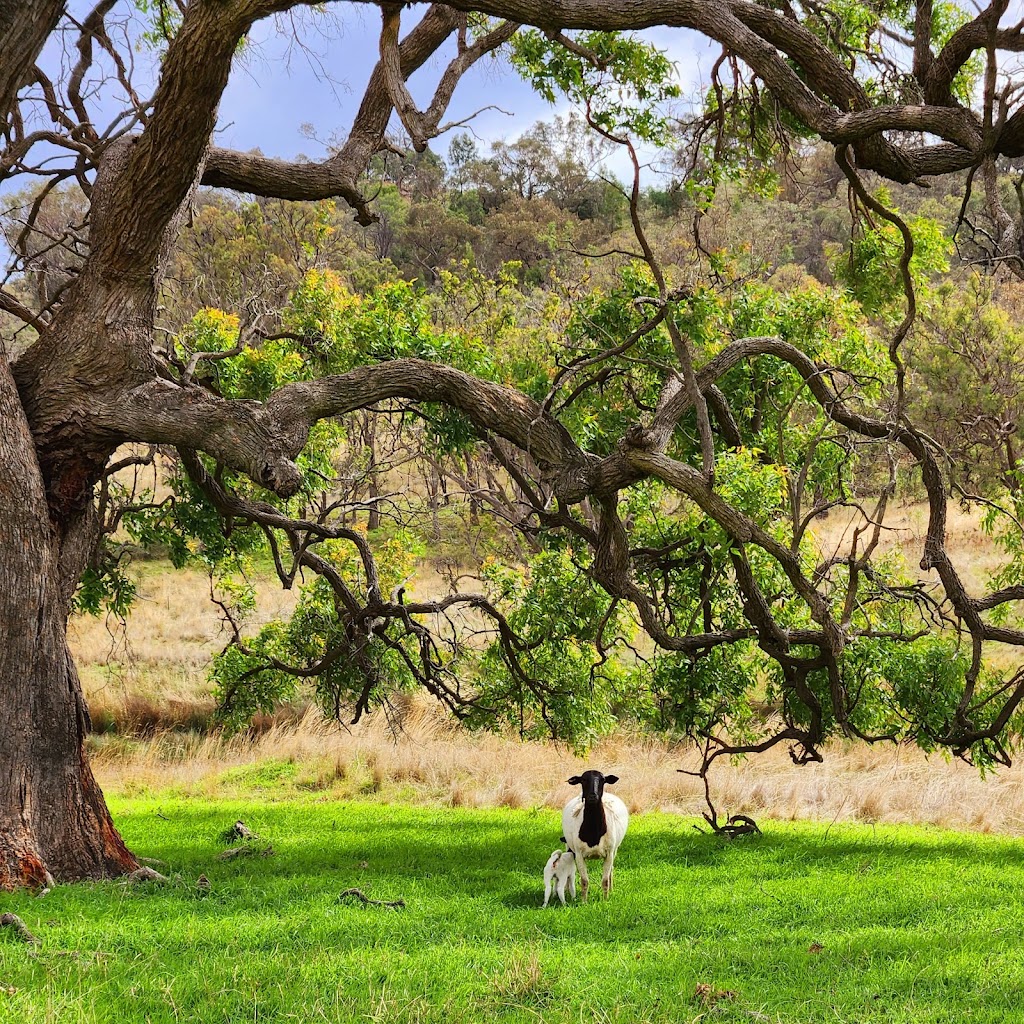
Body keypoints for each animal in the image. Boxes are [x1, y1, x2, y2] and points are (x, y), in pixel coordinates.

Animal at [561, 770, 630, 901]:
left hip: (615, 850)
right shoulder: (579, 854)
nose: (593, 796)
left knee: (611, 870)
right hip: (569, 846)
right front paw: (584, 901)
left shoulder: (609, 853)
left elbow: (605, 881)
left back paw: (611, 890)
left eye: (603, 780)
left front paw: (605, 900)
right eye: (583, 780)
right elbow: (584, 881)